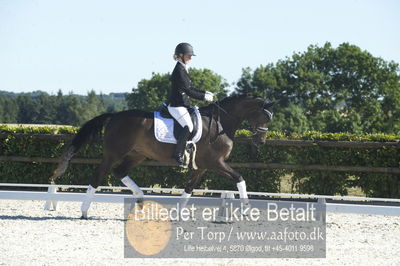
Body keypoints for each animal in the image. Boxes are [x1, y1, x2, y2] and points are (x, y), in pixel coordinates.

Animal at [50, 93, 276, 218]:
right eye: (264, 116)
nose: (261, 142)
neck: (220, 124)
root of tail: (115, 115)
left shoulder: (203, 166)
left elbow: (189, 188)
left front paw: (177, 212)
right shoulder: (216, 162)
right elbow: (239, 178)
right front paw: (247, 209)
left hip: (137, 154)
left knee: (120, 171)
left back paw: (141, 198)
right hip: (114, 153)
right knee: (99, 175)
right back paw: (84, 211)